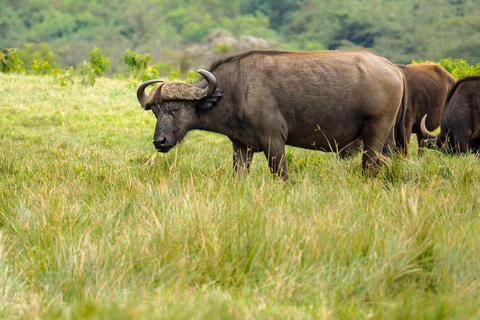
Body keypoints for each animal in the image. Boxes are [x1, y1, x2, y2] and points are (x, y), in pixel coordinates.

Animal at [137, 50, 406, 180]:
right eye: (155, 111)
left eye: (175, 108)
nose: (159, 141)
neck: (233, 91)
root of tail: (394, 68)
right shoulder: (241, 147)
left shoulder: (273, 141)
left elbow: (281, 175)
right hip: (388, 138)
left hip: (375, 133)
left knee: (370, 165)